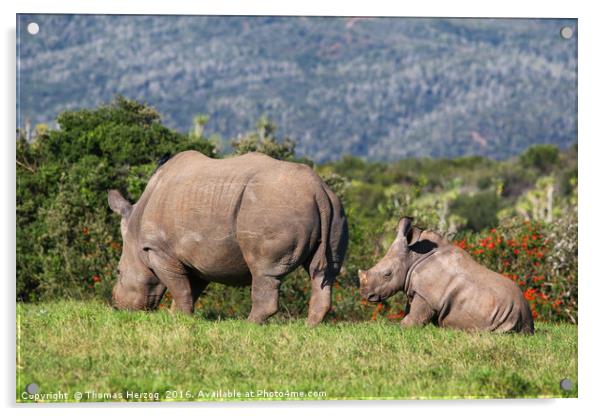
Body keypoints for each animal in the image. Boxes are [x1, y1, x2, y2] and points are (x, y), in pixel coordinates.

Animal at [108, 150, 346, 324]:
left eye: (118, 272)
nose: (118, 306)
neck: (136, 228)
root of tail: (317, 190)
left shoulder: (160, 250)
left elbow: (180, 288)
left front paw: (179, 319)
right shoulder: (196, 257)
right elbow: (190, 289)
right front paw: (178, 318)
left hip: (272, 207)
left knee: (263, 270)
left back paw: (249, 326)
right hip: (333, 210)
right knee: (323, 273)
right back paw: (310, 326)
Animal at [356, 216, 528, 334]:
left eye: (387, 274)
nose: (364, 293)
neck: (414, 257)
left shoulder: (427, 294)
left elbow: (411, 321)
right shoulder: (416, 289)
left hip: (506, 316)